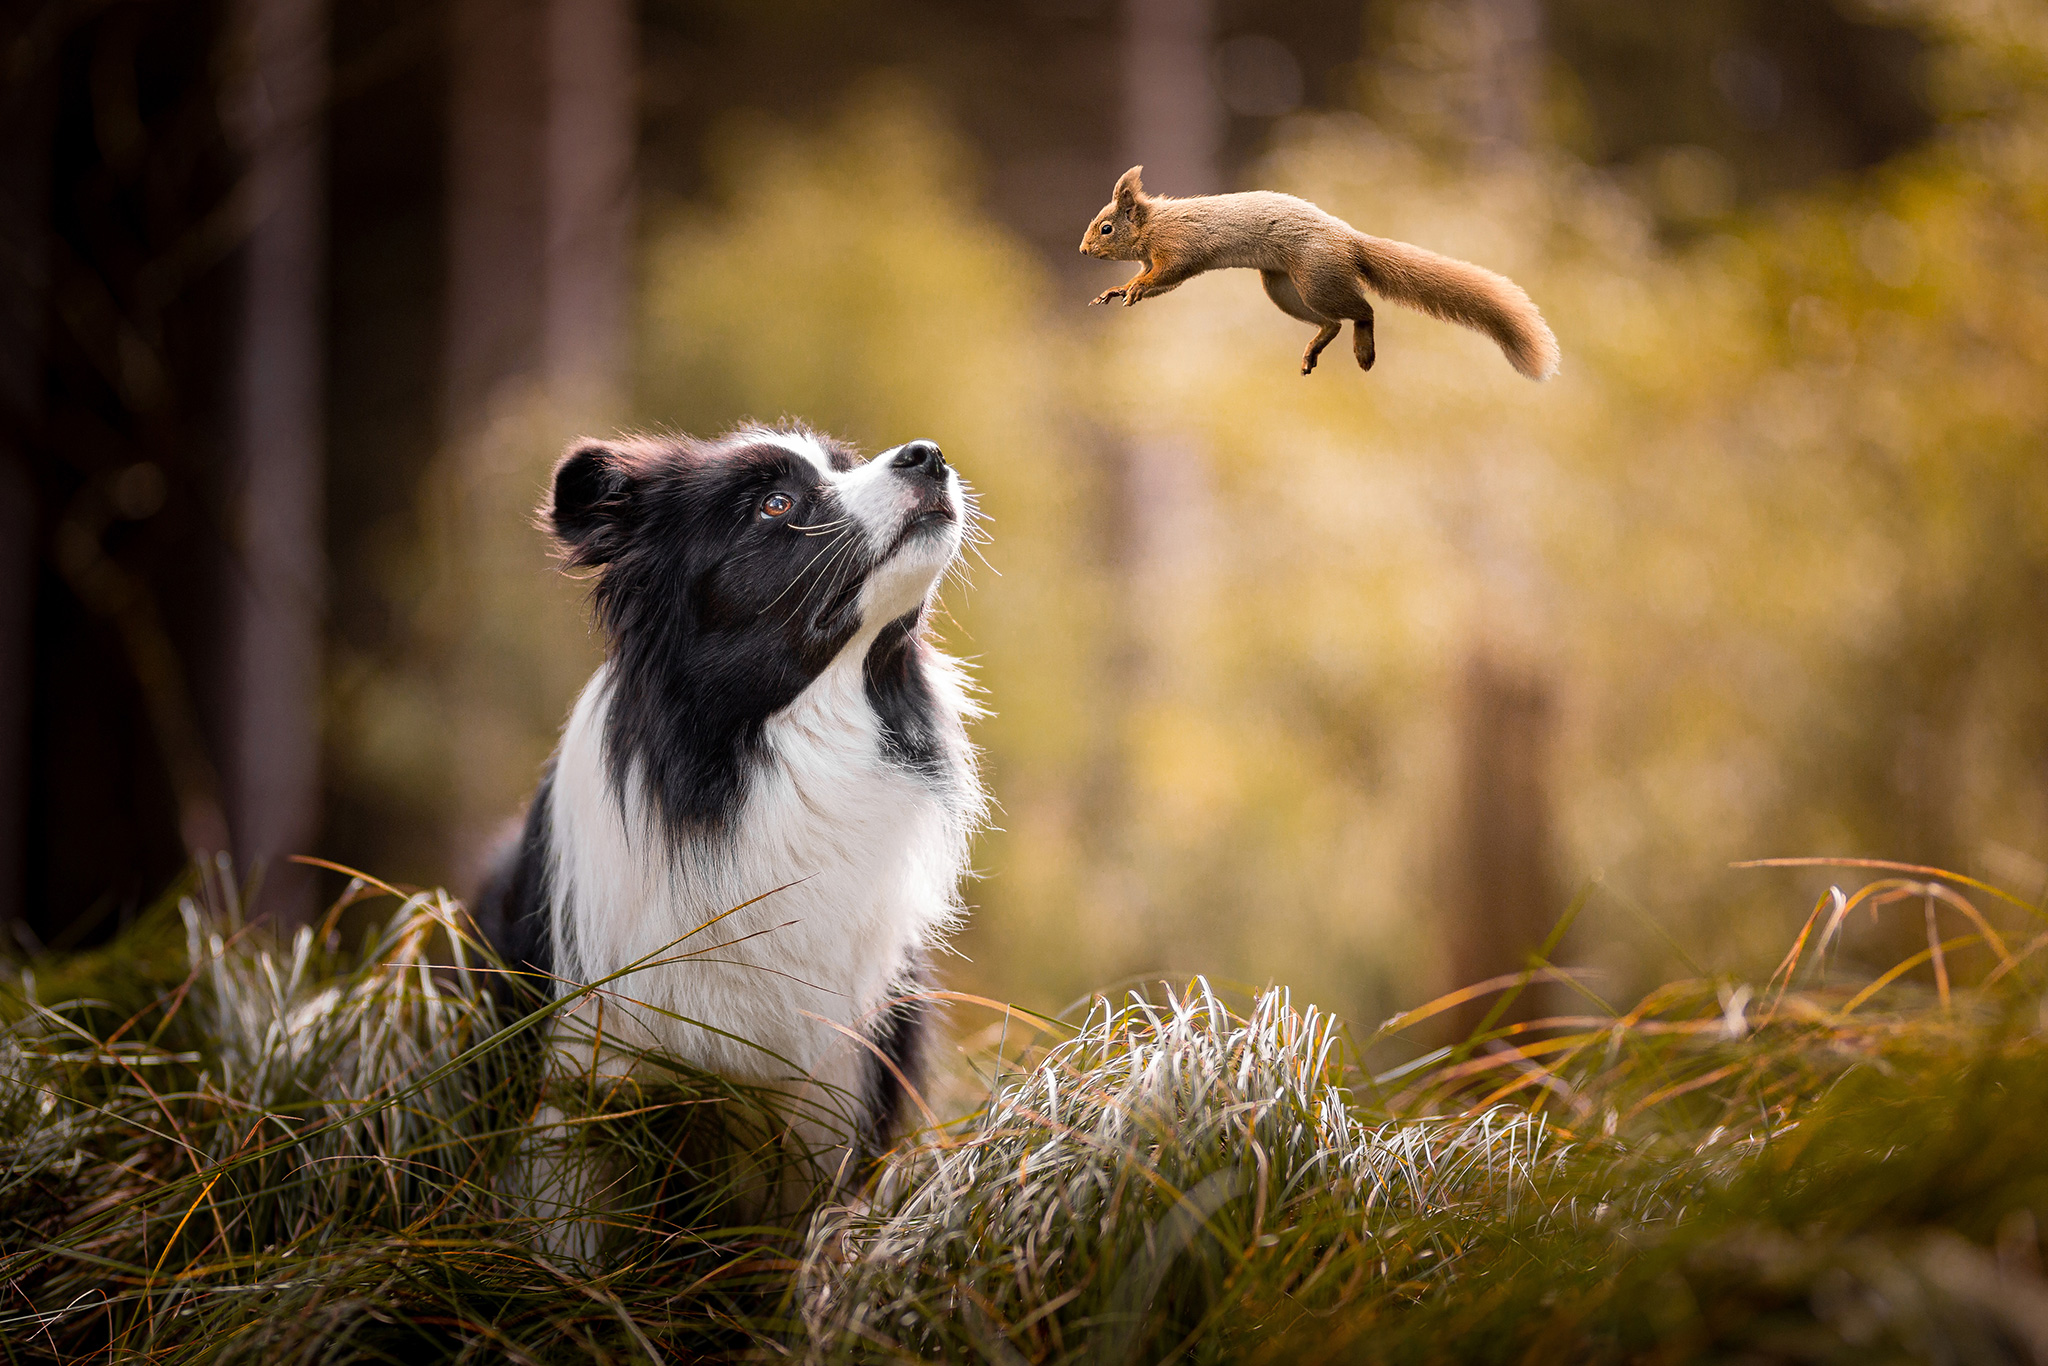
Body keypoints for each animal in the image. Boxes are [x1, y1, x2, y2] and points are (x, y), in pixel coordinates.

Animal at [483, 423, 987, 1163]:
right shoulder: (581, 1080)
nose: (928, 455)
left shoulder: (836, 1093)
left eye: (844, 465)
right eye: (775, 505)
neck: (775, 758)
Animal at [1081, 166, 1556, 378]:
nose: (1083, 249)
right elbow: (1157, 283)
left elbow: (1165, 275)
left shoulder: (1179, 249)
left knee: (1362, 311)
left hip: (1317, 278)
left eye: (1106, 227)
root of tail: (1350, 240)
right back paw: (1315, 347)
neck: (1153, 225)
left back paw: (1364, 350)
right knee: (1332, 323)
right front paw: (1118, 289)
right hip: (1282, 288)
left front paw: (1133, 286)